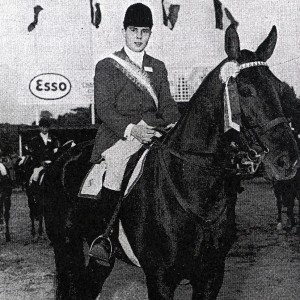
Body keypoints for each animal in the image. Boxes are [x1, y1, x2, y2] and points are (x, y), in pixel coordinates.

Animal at [43, 24, 298, 300]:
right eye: (245, 91)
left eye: (280, 88)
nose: (287, 161)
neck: (195, 189)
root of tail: (62, 159)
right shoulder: (160, 278)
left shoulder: (211, 275)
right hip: (66, 248)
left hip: (100, 260)